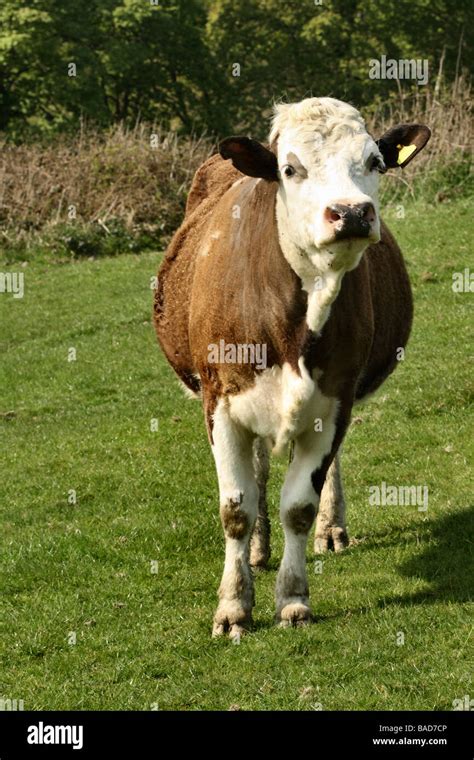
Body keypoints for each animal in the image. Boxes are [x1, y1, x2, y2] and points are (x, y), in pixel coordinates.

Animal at [154, 98, 432, 640]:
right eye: (290, 169)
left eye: (374, 162)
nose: (351, 212)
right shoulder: (221, 404)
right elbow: (235, 509)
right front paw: (233, 606)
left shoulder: (335, 399)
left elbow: (299, 506)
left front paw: (294, 599)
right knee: (260, 469)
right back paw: (259, 550)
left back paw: (331, 528)